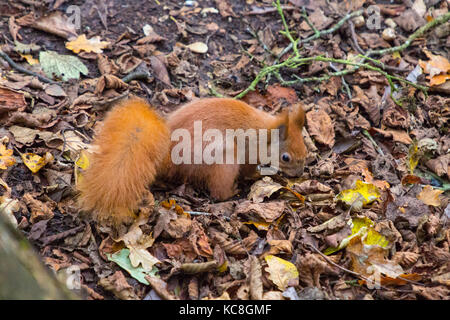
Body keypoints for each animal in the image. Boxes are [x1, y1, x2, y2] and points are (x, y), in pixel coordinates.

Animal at [79, 97, 308, 225]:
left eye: (305, 148)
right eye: (286, 157)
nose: (299, 174)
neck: (264, 133)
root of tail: (168, 157)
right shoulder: (250, 153)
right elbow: (249, 169)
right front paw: (258, 174)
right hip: (224, 159)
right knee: (218, 191)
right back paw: (232, 192)